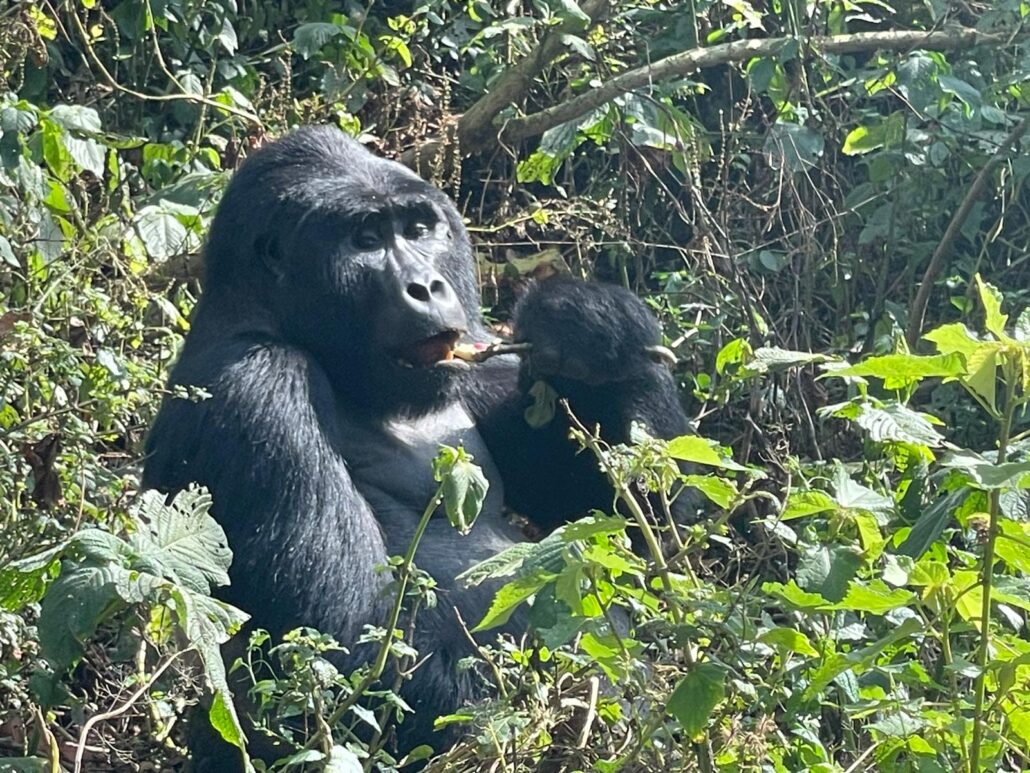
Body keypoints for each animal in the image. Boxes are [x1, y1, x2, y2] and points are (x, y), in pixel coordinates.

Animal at [143, 127, 692, 770]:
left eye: (419, 228)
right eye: (366, 240)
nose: (428, 285)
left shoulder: (480, 349)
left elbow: (638, 519)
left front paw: (592, 326)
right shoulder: (256, 386)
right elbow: (344, 653)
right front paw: (551, 711)